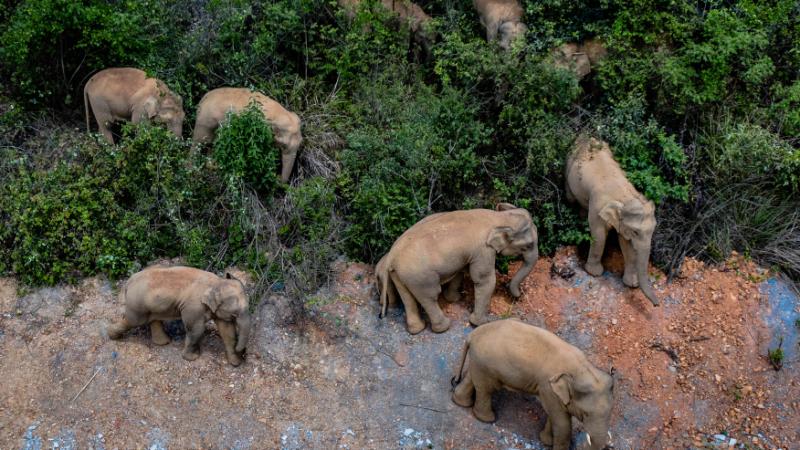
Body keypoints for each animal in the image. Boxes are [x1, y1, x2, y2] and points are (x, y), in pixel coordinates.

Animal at [106, 268, 250, 366]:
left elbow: (227, 331)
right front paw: (192, 358)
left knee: (153, 319)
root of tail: (128, 282)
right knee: (133, 321)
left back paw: (163, 343)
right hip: (137, 304)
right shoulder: (193, 307)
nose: (243, 353)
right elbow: (197, 330)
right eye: (235, 314)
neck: (216, 282)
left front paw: (235, 362)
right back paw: (112, 336)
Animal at [376, 204, 536, 334]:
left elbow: (459, 271)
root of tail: (391, 256)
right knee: (430, 296)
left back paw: (416, 329)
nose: (518, 296)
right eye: (528, 245)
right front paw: (481, 323)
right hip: (419, 276)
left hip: (400, 274)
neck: (498, 217)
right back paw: (443, 327)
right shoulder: (483, 250)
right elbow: (484, 280)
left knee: (407, 297)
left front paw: (454, 299)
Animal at [454, 320, 616, 450]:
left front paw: (546, 441)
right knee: (486, 389)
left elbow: (553, 415)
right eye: (586, 414)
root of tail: (473, 334)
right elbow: (562, 423)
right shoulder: (548, 387)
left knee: (472, 379)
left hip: (479, 362)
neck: (581, 369)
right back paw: (487, 419)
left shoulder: (551, 392)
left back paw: (460, 402)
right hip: (487, 364)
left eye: (610, 412)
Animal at [564, 135, 660, 308]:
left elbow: (626, 244)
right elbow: (599, 235)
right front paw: (594, 273)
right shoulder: (597, 206)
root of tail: (585, 135)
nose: (656, 305)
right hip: (568, 166)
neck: (624, 196)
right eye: (636, 232)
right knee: (570, 198)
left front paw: (631, 284)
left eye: (652, 231)